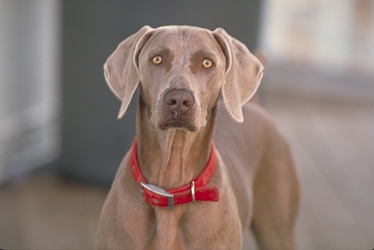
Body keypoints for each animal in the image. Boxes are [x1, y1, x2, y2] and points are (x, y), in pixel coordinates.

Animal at [97, 24, 300, 249]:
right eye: (157, 59)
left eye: (207, 62)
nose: (178, 100)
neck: (171, 189)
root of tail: (255, 106)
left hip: (277, 230)